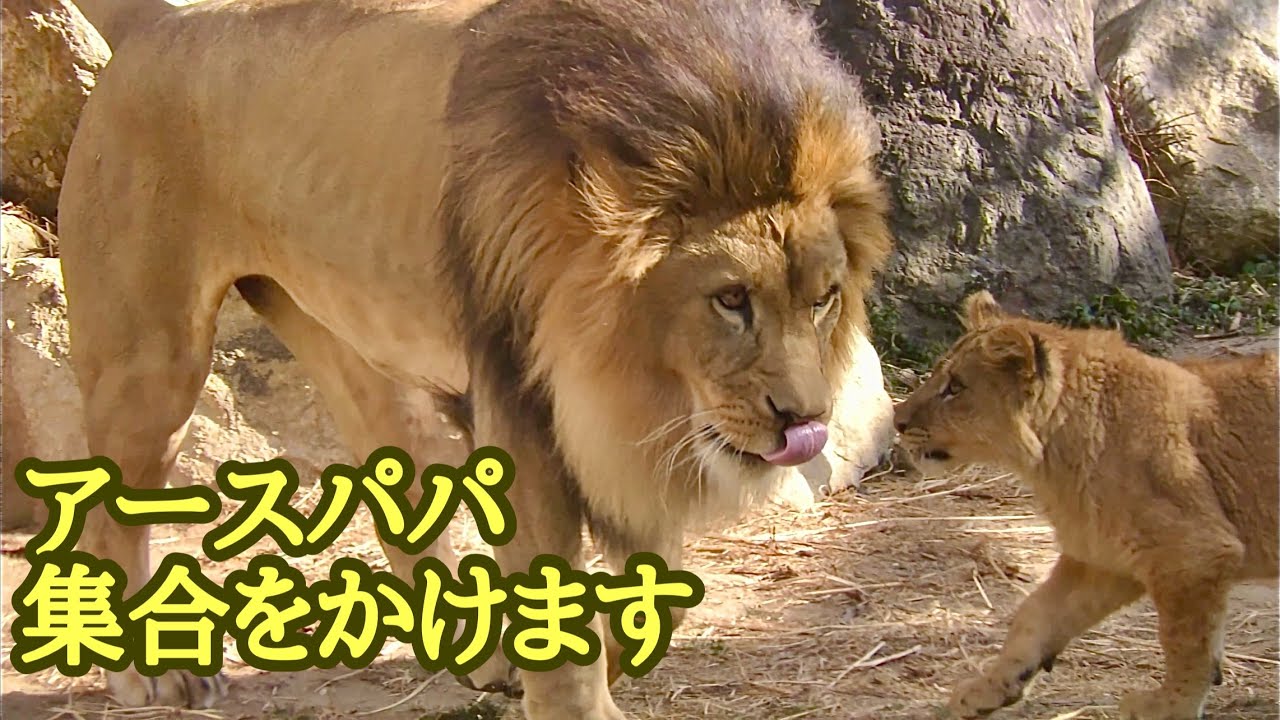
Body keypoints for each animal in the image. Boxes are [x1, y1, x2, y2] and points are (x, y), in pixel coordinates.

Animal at [55, 1, 892, 718]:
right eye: (730, 299)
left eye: (824, 299)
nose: (806, 419)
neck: (629, 375)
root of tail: (160, 25)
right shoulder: (521, 399)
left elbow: (654, 577)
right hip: (150, 365)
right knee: (108, 512)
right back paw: (145, 674)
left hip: (356, 355)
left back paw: (476, 654)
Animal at [893, 290, 1279, 720]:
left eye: (955, 387)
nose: (897, 420)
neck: (1054, 455)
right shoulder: (1102, 557)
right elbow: (1034, 616)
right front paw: (989, 690)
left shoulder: (1193, 553)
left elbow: (1186, 644)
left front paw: (1169, 707)